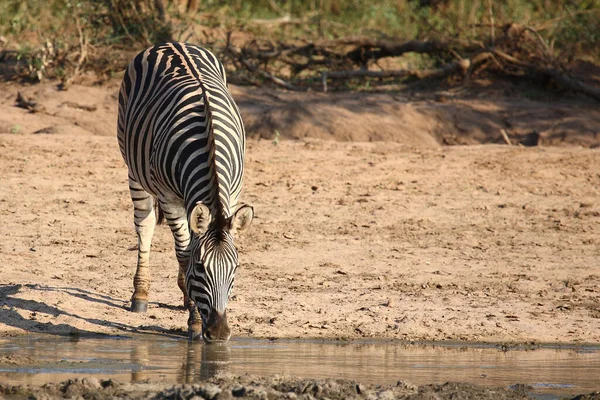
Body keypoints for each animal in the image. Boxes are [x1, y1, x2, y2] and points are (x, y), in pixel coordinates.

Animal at [116, 42, 253, 342]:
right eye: (201, 268)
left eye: (236, 268)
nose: (220, 333)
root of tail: (171, 43)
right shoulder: (169, 198)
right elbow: (184, 253)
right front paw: (195, 321)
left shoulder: (233, 193)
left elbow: (189, 246)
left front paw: (190, 304)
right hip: (134, 171)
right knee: (145, 226)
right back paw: (140, 294)